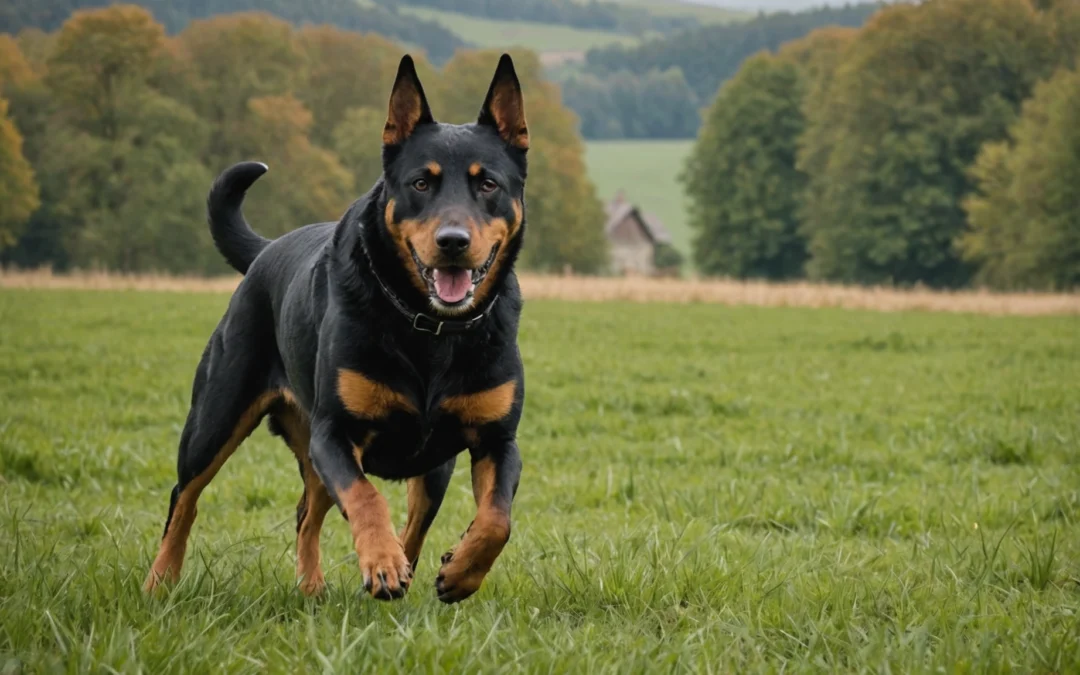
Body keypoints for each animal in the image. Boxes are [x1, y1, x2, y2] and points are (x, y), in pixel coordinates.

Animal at [143, 52, 531, 600]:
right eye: (420, 183)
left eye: (489, 184)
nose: (453, 241)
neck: (428, 329)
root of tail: (266, 251)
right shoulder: (334, 432)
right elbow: (366, 497)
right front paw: (382, 562)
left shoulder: (497, 440)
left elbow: (497, 517)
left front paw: (459, 570)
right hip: (217, 416)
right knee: (186, 496)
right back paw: (161, 580)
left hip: (429, 467)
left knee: (327, 513)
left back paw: (321, 586)